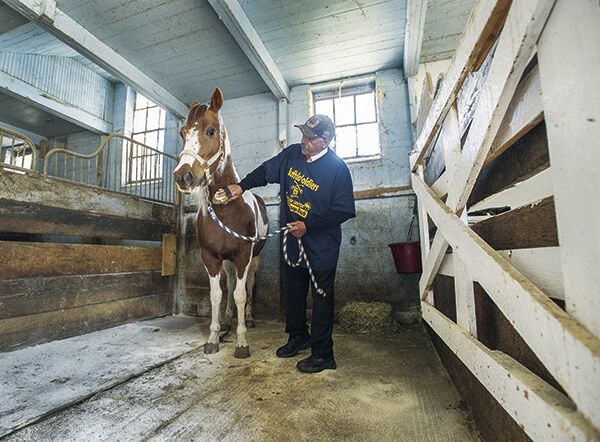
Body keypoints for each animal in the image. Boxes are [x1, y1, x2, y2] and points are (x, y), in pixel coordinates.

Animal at [172, 87, 268, 360]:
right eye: (183, 133)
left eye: (211, 130)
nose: (183, 176)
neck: (226, 208)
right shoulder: (211, 257)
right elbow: (217, 295)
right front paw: (214, 338)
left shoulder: (244, 255)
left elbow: (241, 294)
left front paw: (242, 342)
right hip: (227, 261)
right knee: (231, 284)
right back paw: (226, 320)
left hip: (254, 258)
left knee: (249, 284)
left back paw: (249, 319)